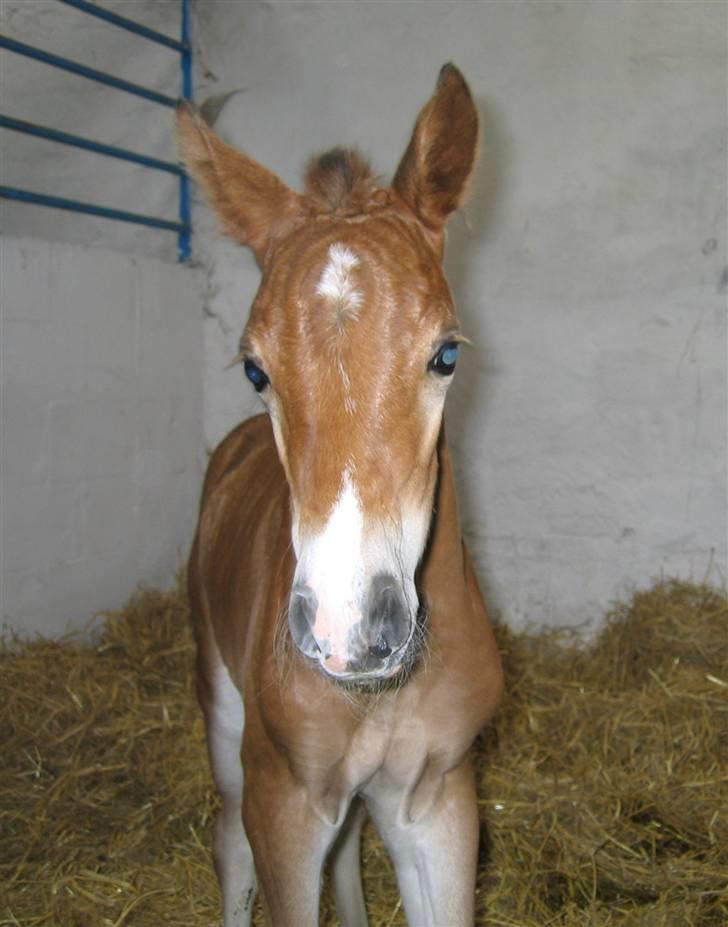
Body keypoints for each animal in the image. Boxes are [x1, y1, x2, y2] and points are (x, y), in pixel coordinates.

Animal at [179, 61, 504, 924]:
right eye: (255, 368)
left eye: (448, 353)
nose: (348, 630)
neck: (377, 695)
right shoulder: (284, 802)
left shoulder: (439, 798)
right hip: (224, 718)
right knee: (228, 842)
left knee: (351, 843)